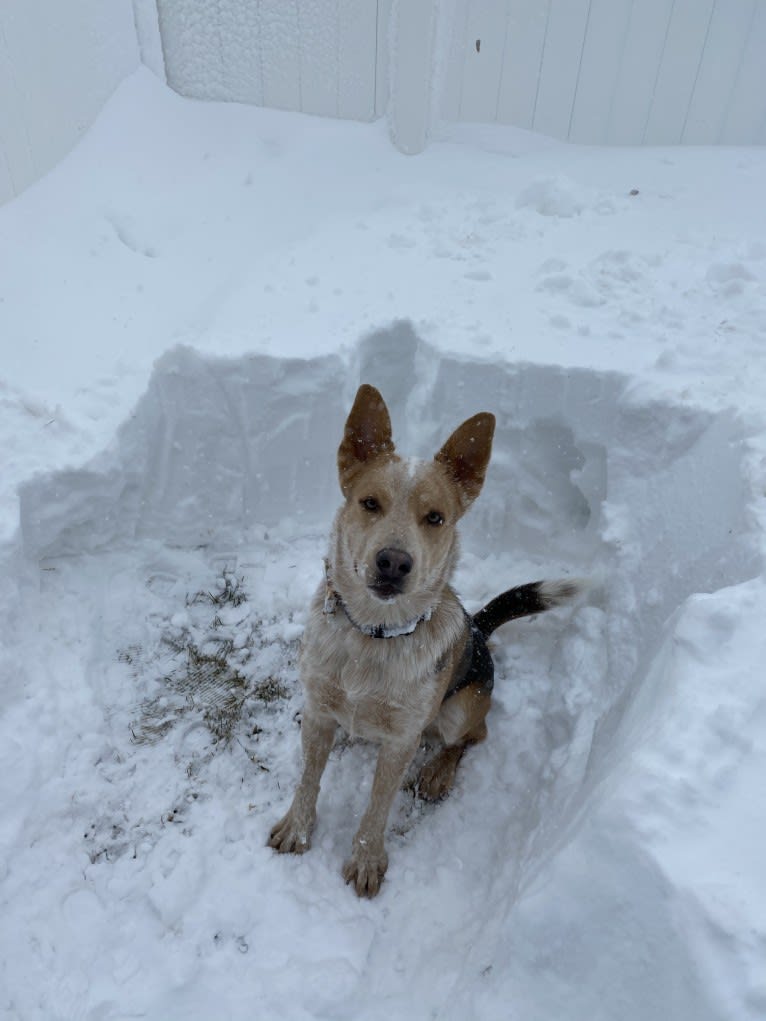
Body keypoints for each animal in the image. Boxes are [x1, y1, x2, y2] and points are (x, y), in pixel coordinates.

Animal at [269, 385, 580, 898]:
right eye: (369, 503)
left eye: (435, 518)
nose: (394, 562)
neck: (374, 634)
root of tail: (479, 627)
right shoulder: (319, 711)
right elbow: (309, 777)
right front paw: (296, 827)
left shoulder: (402, 738)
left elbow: (378, 804)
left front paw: (366, 860)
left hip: (459, 708)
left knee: (472, 735)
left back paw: (437, 771)